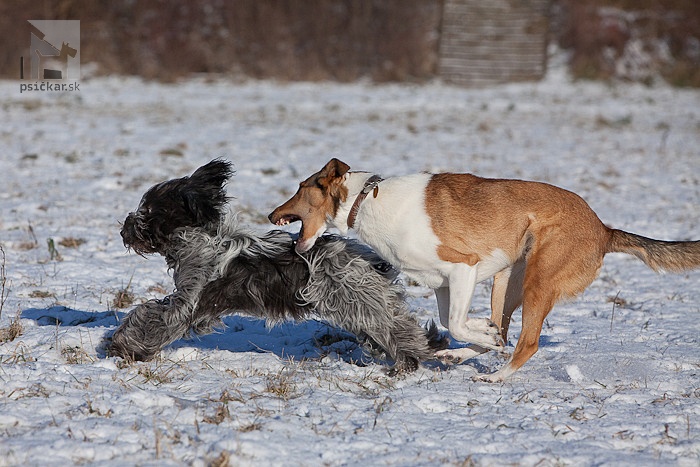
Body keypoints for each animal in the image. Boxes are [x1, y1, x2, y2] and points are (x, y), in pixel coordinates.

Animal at [111, 160, 446, 372]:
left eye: (148, 210)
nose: (125, 227)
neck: (198, 238)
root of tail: (365, 255)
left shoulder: (189, 302)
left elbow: (153, 317)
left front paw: (123, 345)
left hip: (358, 299)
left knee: (396, 327)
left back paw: (410, 359)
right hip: (358, 303)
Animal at [270, 159, 700, 382]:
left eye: (300, 187)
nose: (272, 215)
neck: (366, 202)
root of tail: (604, 229)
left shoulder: (463, 267)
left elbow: (458, 324)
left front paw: (481, 336)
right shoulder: (443, 283)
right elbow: (451, 320)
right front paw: (482, 335)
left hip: (537, 279)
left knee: (526, 342)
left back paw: (494, 375)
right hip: (506, 280)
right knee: (505, 330)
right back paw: (466, 352)